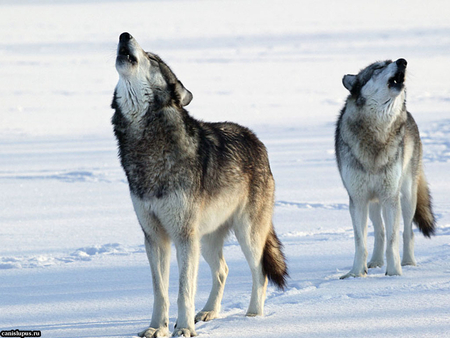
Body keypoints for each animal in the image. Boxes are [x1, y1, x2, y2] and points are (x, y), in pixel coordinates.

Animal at [110, 32, 286, 338]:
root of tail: (256, 139)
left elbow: (183, 290)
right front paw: (156, 328)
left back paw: (253, 317)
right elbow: (160, 291)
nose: (124, 34)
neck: (146, 142)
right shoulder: (155, 237)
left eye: (151, 58)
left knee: (260, 273)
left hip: (245, 234)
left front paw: (184, 329)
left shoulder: (183, 236)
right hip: (205, 240)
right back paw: (209, 312)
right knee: (223, 270)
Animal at [334, 58, 436, 280]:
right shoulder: (358, 199)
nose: (402, 61)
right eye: (379, 67)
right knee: (379, 230)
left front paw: (395, 273)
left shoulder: (390, 198)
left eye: (391, 61)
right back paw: (375, 262)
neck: (377, 133)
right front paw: (356, 273)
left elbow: (393, 240)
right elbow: (360, 241)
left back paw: (408, 262)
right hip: (373, 202)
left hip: (406, 198)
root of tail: (410, 116)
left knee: (408, 231)